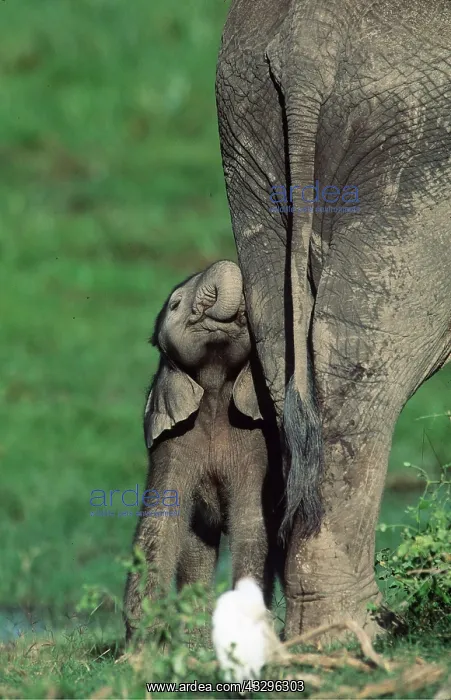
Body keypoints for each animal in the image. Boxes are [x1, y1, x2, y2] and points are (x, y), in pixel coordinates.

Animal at [123, 260, 284, 641]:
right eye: (176, 305)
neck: (214, 382)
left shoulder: (257, 443)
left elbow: (252, 522)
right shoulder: (171, 443)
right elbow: (160, 520)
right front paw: (143, 641)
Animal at [216, 0, 451, 637]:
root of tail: (307, 45)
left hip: (247, 133)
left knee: (285, 349)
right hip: (415, 151)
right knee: (361, 361)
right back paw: (358, 632)